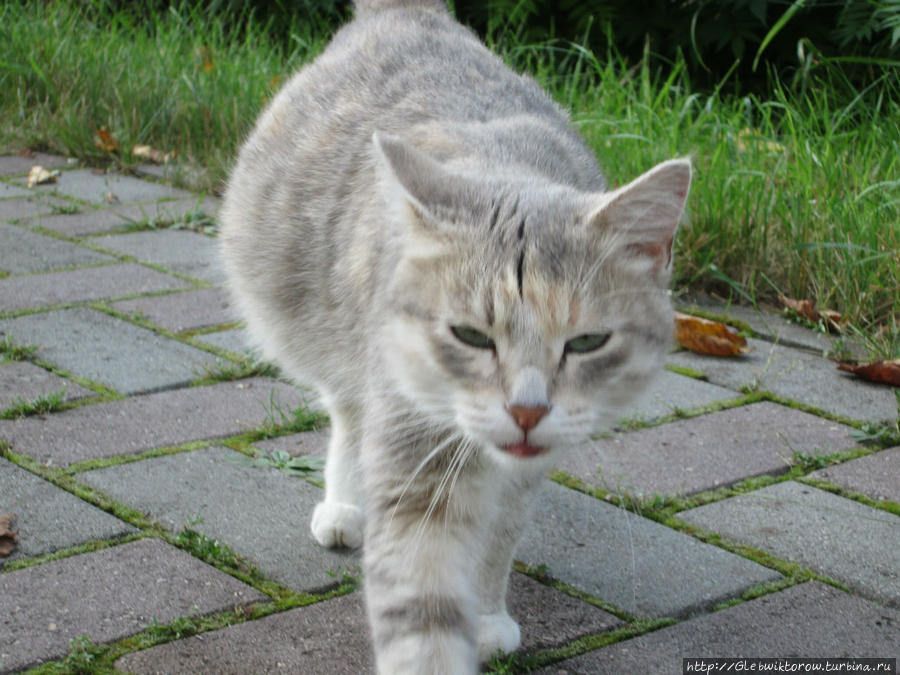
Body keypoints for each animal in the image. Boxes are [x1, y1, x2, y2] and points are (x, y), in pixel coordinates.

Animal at [221, 0, 692, 672]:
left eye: (585, 343)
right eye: (471, 336)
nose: (527, 411)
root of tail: (409, 13)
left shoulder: (521, 475)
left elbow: (498, 540)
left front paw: (488, 617)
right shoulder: (415, 443)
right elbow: (421, 591)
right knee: (347, 417)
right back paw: (345, 506)